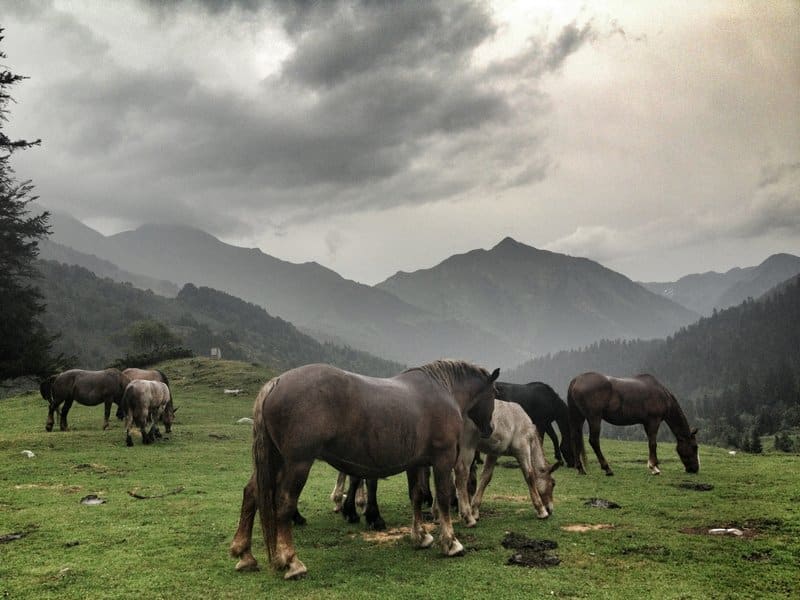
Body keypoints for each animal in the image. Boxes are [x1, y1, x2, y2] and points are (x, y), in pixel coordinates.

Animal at [228, 358, 496, 580]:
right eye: (494, 393)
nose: (490, 428)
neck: (441, 390)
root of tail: (276, 382)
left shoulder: (415, 463)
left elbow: (417, 496)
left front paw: (420, 536)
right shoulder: (442, 460)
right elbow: (442, 498)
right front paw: (451, 543)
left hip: (274, 461)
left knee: (251, 493)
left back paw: (245, 554)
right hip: (296, 463)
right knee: (284, 503)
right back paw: (291, 561)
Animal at [454, 400, 560, 528]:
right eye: (553, 483)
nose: (550, 509)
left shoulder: (493, 453)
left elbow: (485, 478)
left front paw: (475, 511)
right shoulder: (522, 450)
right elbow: (529, 476)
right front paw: (541, 511)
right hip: (467, 447)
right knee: (462, 472)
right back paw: (468, 517)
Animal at [564, 372, 696, 476]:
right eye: (695, 447)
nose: (695, 469)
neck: (662, 395)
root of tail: (577, 380)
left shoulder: (646, 423)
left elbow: (650, 443)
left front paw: (653, 465)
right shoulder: (654, 421)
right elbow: (653, 444)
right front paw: (655, 467)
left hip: (578, 417)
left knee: (575, 438)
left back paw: (580, 468)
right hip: (594, 418)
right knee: (594, 441)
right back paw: (607, 468)